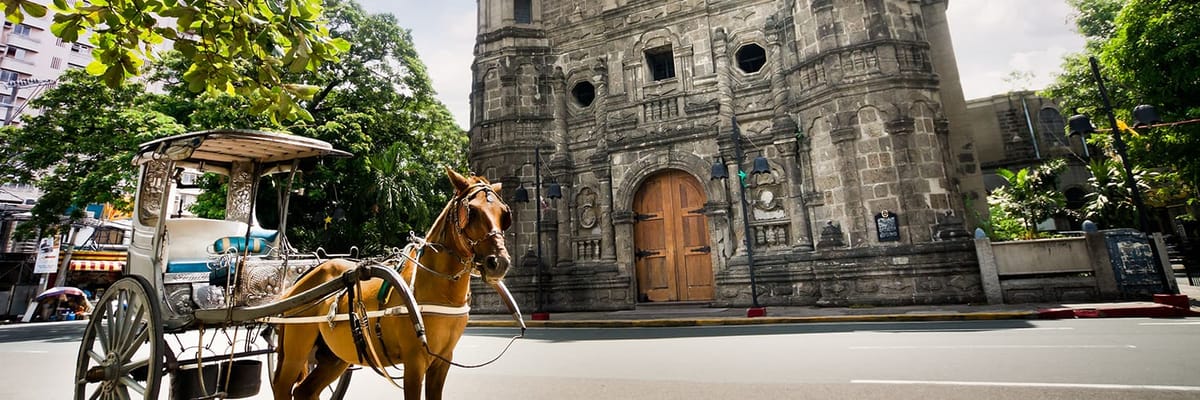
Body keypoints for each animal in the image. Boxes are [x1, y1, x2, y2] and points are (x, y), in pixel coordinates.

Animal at [272, 166, 511, 396]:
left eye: (503, 214)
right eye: (473, 211)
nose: (499, 262)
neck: (439, 289)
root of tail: (300, 282)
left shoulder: (443, 359)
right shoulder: (414, 361)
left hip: (335, 356)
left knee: (304, 391)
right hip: (295, 351)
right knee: (282, 387)